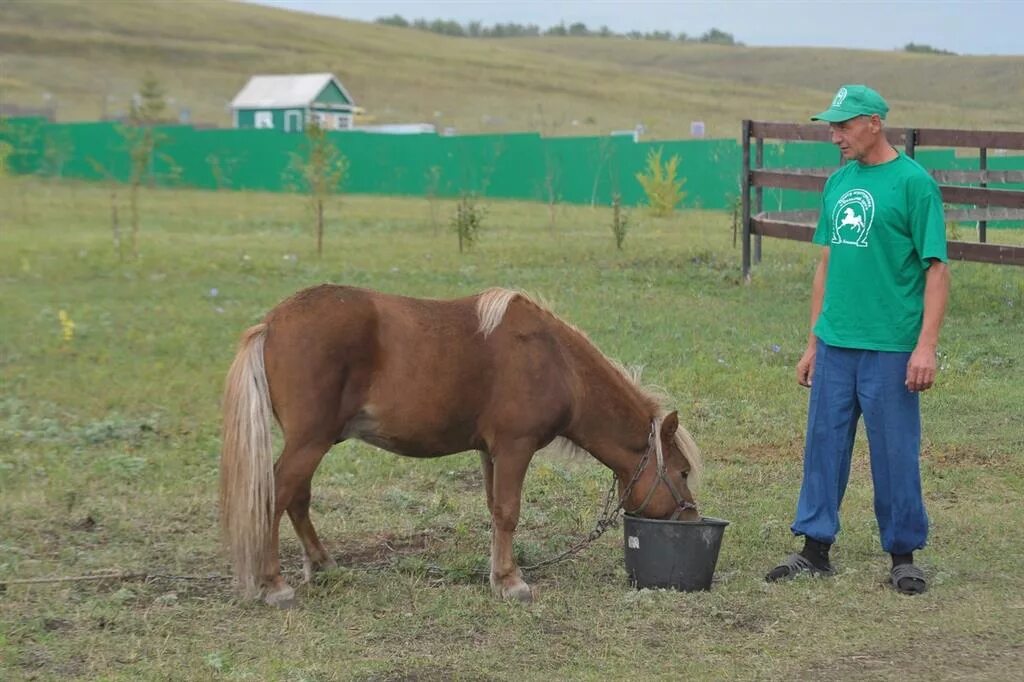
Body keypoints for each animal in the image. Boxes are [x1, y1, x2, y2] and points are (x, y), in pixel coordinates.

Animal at [219, 284, 700, 602]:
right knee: (278, 496)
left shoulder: (490, 451)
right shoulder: (514, 448)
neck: (554, 361)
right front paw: (511, 582)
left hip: (311, 444)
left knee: (297, 499)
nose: (692, 520)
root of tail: (271, 325)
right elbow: (508, 512)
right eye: (682, 472)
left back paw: (321, 564)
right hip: (309, 443)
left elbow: (494, 510)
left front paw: (497, 573)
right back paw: (274, 584)